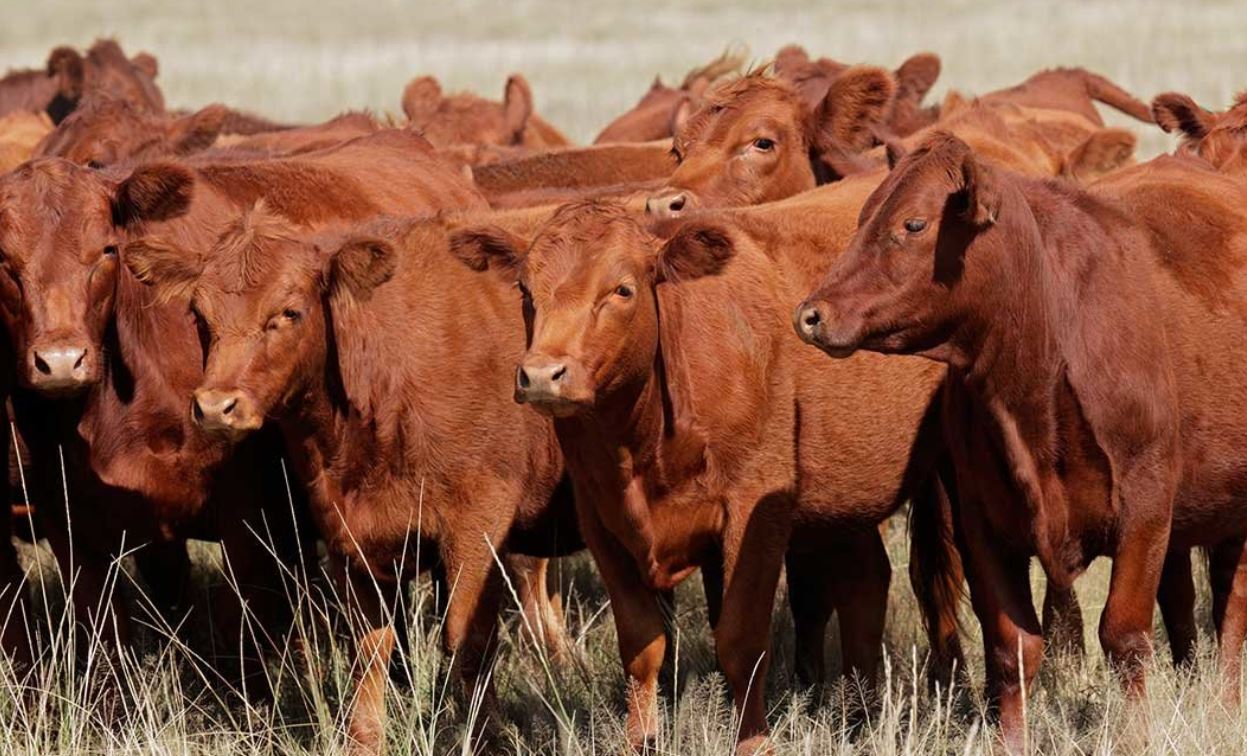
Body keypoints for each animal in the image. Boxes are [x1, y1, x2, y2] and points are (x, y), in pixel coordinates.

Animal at [124, 206, 581, 752]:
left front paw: (486, 739)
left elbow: (467, 642)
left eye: (289, 313)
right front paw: (365, 740)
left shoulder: (478, 525)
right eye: (198, 315)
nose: (215, 407)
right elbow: (370, 649)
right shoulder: (350, 536)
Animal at [796, 133, 1247, 750]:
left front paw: (1134, 739)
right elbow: (1011, 647)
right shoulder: (982, 524)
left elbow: (1124, 636)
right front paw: (1010, 742)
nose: (811, 314)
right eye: (863, 216)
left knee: (1232, 608)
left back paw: (1227, 703)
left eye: (913, 224)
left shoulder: (1147, 508)